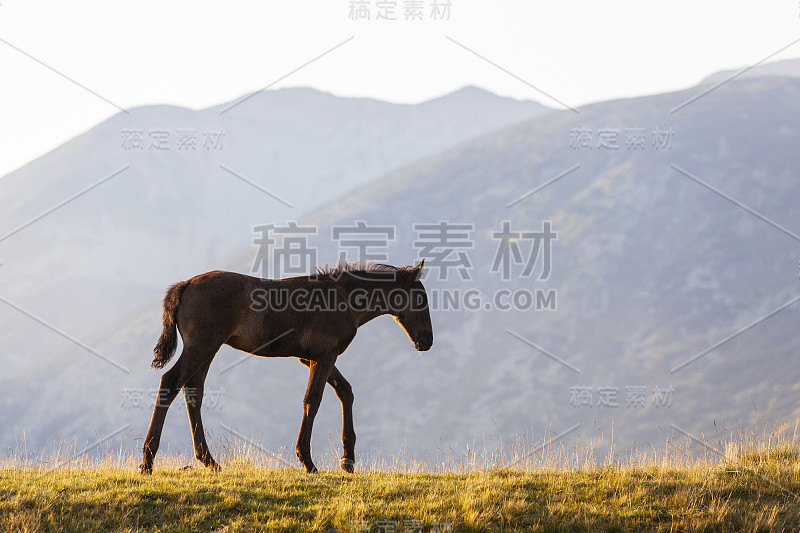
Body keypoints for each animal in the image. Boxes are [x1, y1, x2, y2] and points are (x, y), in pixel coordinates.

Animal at [138, 260, 432, 472]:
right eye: (421, 300)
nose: (427, 341)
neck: (343, 297)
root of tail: (185, 284)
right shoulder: (325, 355)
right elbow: (313, 399)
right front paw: (308, 461)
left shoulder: (311, 357)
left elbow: (345, 392)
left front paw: (348, 459)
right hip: (202, 345)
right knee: (171, 383)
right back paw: (147, 461)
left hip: (207, 349)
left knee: (193, 391)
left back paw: (209, 461)